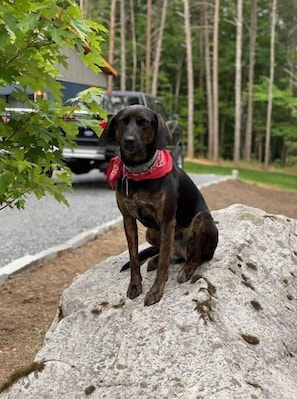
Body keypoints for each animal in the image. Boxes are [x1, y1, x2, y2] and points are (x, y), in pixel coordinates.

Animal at [99, 105, 217, 306]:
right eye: (122, 122)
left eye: (144, 123)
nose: (128, 141)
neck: (139, 173)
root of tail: (181, 252)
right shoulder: (128, 219)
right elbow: (134, 257)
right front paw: (135, 286)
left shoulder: (167, 220)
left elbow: (163, 265)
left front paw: (155, 292)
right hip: (151, 232)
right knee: (168, 255)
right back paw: (155, 260)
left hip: (202, 220)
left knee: (196, 256)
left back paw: (187, 269)